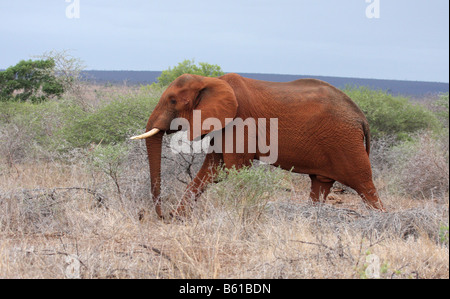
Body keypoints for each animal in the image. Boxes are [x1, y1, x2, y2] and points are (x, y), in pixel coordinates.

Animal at [131, 72, 386, 218]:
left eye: (173, 101)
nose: (163, 215)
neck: (211, 81)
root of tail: (361, 117)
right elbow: (212, 170)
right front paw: (179, 218)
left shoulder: (239, 121)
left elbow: (236, 170)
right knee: (320, 185)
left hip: (346, 142)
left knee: (365, 187)